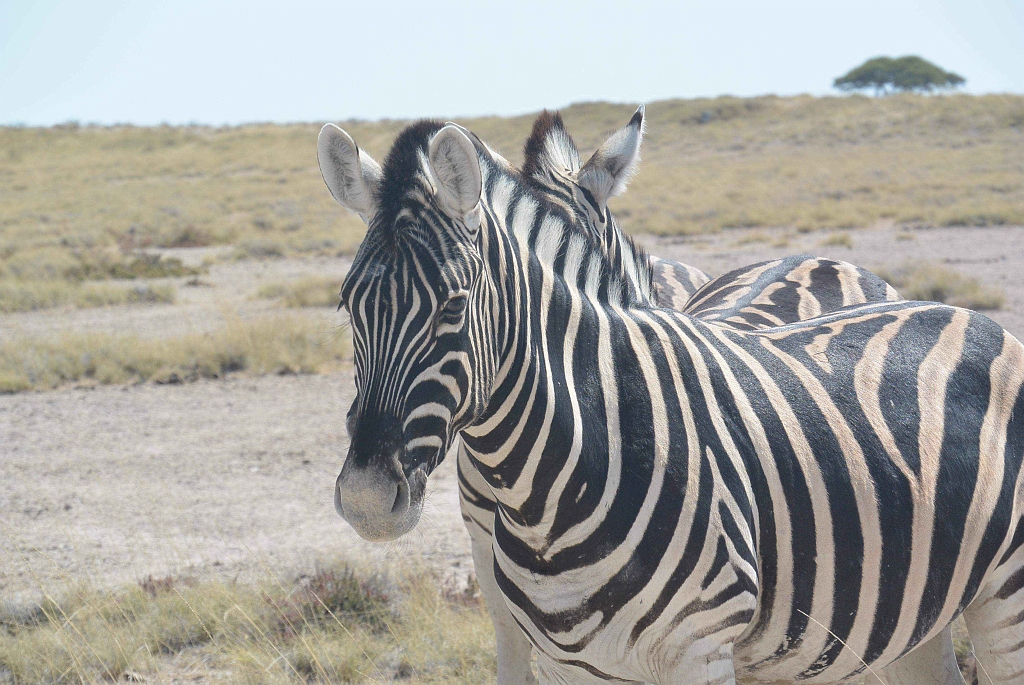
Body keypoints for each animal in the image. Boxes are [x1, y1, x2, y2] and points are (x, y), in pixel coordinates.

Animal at [319, 116, 1024, 679]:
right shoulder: (560, 656)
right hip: (910, 602)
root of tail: (970, 315)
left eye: (453, 308)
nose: (366, 499)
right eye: (348, 307)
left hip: (1006, 599)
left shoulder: (701, 650)